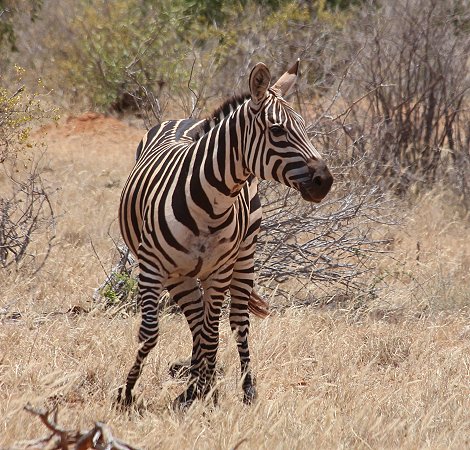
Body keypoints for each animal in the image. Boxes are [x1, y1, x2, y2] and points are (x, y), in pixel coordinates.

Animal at [115, 59, 332, 408]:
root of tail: (188, 118)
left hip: (243, 257)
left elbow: (211, 333)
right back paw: (194, 383)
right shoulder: (151, 267)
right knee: (195, 321)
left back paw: (243, 389)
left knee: (236, 322)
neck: (211, 204)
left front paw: (203, 391)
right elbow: (150, 332)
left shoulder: (219, 271)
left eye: (303, 126)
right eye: (277, 130)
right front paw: (129, 391)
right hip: (180, 275)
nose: (325, 182)